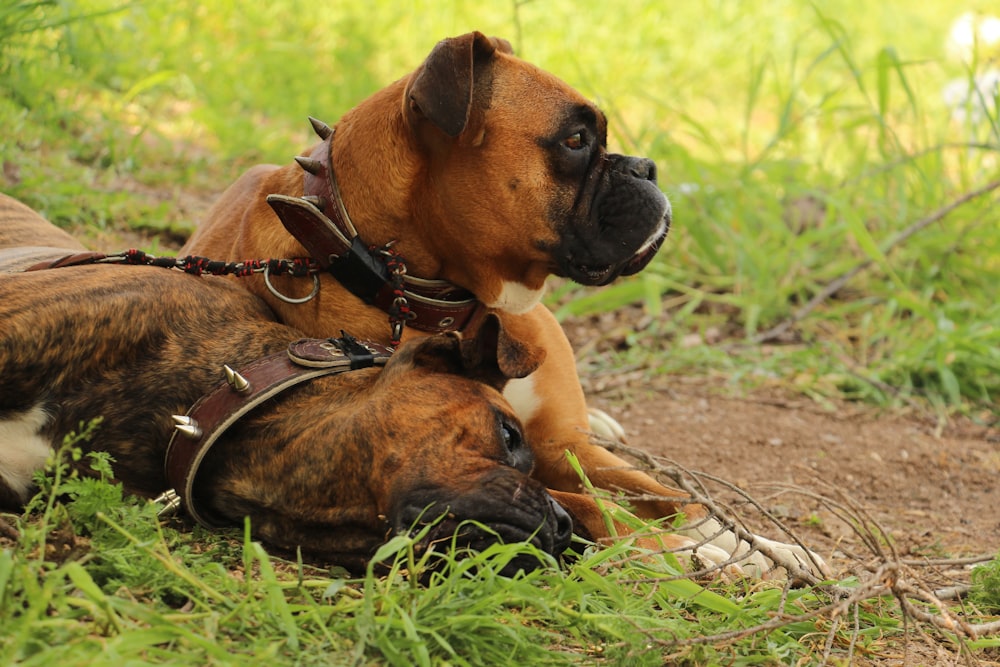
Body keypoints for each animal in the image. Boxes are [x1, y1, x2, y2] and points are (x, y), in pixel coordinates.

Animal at [186, 32, 828, 580]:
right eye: (575, 140)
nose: (647, 167)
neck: (459, 303)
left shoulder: (562, 444)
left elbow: (675, 496)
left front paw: (763, 545)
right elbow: (597, 508)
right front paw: (688, 553)